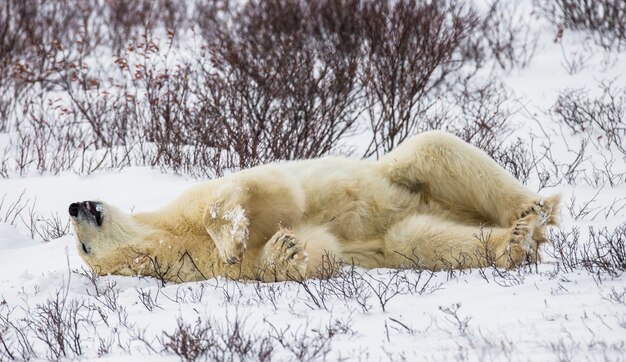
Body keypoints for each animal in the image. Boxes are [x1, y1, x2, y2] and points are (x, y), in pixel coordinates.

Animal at [70, 132, 560, 284]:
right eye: (84, 249)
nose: (75, 205)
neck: (174, 237)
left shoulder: (192, 202)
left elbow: (262, 191)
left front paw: (232, 235)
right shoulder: (207, 268)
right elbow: (315, 248)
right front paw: (284, 249)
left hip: (411, 179)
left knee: (431, 149)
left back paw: (537, 210)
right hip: (413, 230)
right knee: (422, 241)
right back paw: (516, 241)